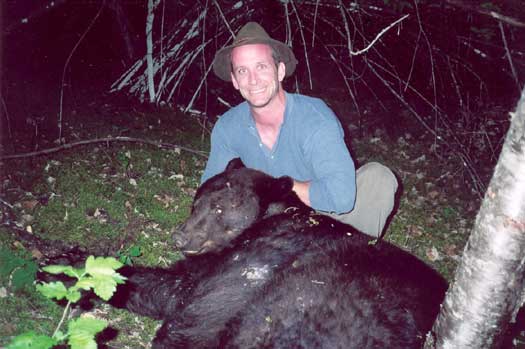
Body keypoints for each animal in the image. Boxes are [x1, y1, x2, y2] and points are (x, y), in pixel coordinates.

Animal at [49, 158, 446, 348]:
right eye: (197, 201)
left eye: (220, 207)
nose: (180, 236)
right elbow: (170, 284)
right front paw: (66, 262)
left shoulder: (265, 256)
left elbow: (193, 305)